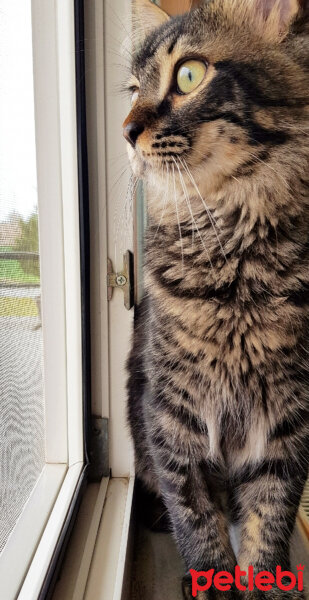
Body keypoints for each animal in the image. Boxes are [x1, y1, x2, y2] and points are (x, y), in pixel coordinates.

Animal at [122, 2, 308, 596]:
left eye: (188, 75)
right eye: (133, 90)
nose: (126, 131)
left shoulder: (288, 426)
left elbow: (268, 524)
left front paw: (264, 582)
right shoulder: (171, 417)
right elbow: (196, 520)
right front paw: (209, 579)